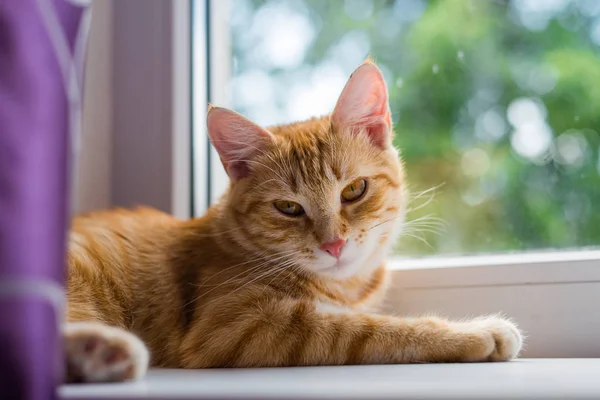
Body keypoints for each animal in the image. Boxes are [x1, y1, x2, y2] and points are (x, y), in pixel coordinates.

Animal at [65, 59, 520, 382]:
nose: (334, 244)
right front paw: (476, 333)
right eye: (288, 208)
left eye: (354, 190)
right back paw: (106, 349)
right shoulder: (237, 326)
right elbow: (367, 329)